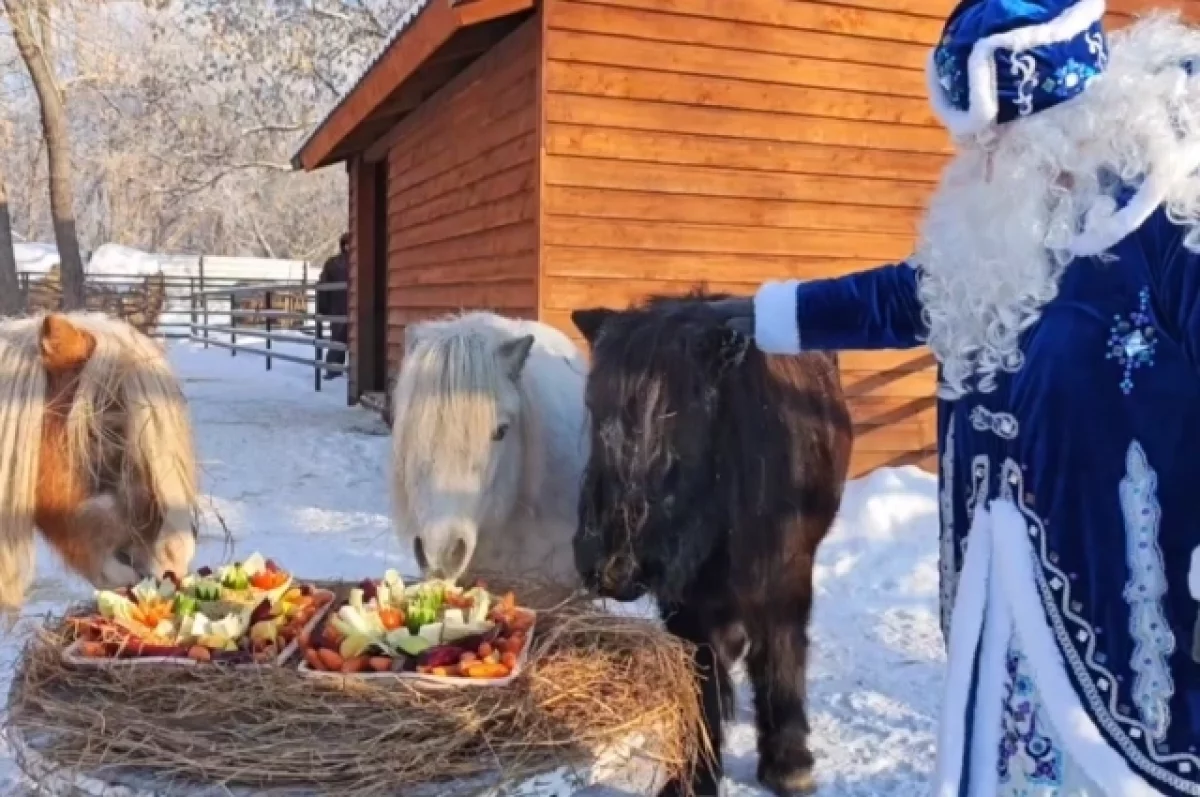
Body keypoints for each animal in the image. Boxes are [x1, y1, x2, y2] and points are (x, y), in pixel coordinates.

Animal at [571, 292, 854, 797]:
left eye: (685, 414)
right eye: (593, 406)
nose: (612, 567)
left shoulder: (786, 574)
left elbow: (780, 654)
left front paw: (789, 763)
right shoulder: (685, 600)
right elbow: (701, 678)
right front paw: (694, 774)